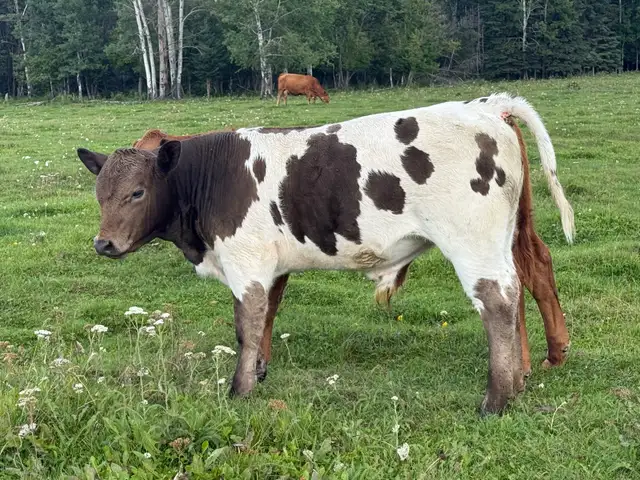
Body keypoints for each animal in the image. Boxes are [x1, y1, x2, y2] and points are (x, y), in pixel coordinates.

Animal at [77, 93, 575, 415]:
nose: (104, 243)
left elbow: (246, 325)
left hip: (473, 242)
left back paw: (497, 398)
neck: (212, 176)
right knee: (525, 280)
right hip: (505, 235)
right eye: (100, 194)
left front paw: (240, 389)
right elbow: (265, 319)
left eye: (137, 192)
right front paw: (259, 371)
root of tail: (487, 106)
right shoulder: (272, 266)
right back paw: (525, 376)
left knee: (499, 300)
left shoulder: (246, 264)